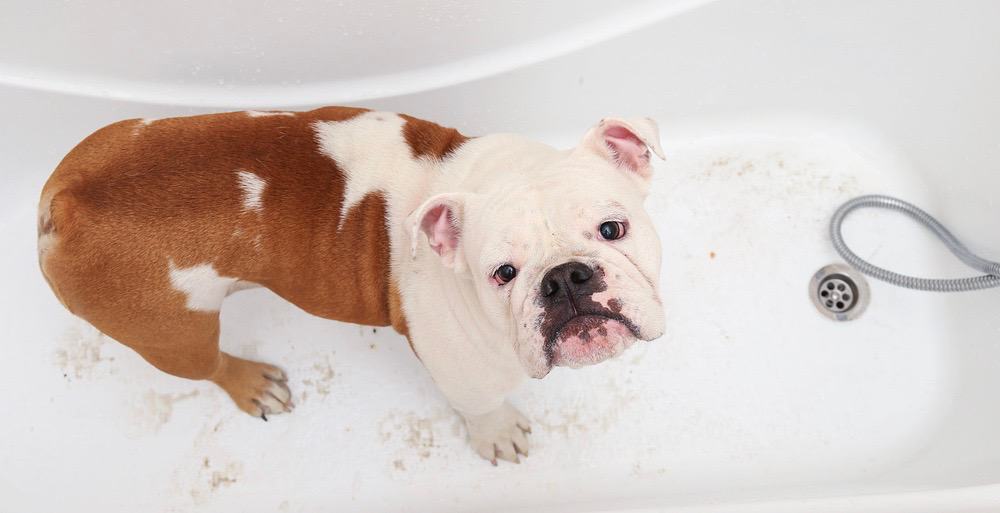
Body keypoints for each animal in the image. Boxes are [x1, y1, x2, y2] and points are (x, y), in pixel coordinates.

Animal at [37, 108, 664, 464]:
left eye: (613, 229)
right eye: (502, 273)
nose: (565, 278)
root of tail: (70, 202)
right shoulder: (460, 369)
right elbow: (482, 406)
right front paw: (498, 432)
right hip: (171, 334)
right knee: (209, 364)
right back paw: (250, 383)